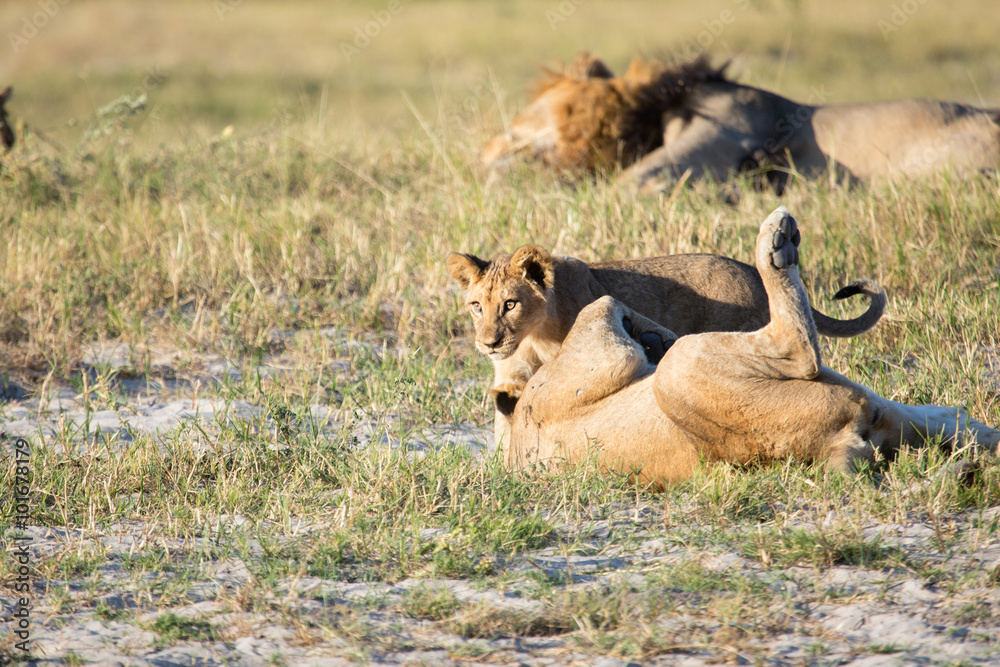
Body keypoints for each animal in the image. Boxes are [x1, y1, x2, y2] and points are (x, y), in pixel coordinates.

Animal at [447, 235, 884, 446]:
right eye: (476, 306)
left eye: (510, 304)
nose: (488, 343)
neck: (532, 336)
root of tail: (748, 270)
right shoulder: (510, 377)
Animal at [504, 208, 1000, 486]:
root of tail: (832, 448)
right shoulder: (595, 358)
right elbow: (605, 306)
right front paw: (647, 335)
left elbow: (610, 306)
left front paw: (649, 334)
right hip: (683, 372)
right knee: (797, 348)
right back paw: (777, 241)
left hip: (905, 419)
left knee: (956, 419)